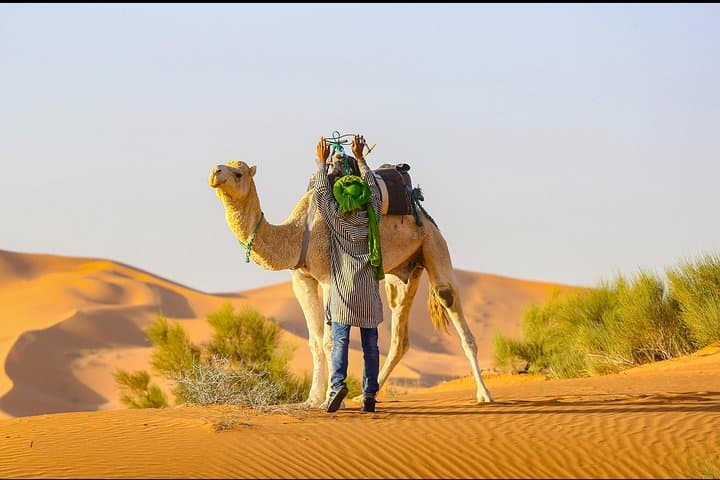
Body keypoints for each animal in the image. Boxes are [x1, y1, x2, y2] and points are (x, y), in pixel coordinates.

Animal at [208, 155, 493, 408]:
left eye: (238, 173)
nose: (215, 172)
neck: (299, 231)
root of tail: (421, 209)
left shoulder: (326, 277)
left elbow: (328, 340)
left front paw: (329, 399)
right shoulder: (301, 278)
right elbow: (314, 340)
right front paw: (312, 400)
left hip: (434, 244)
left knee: (449, 299)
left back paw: (484, 394)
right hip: (403, 274)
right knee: (399, 336)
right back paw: (363, 396)